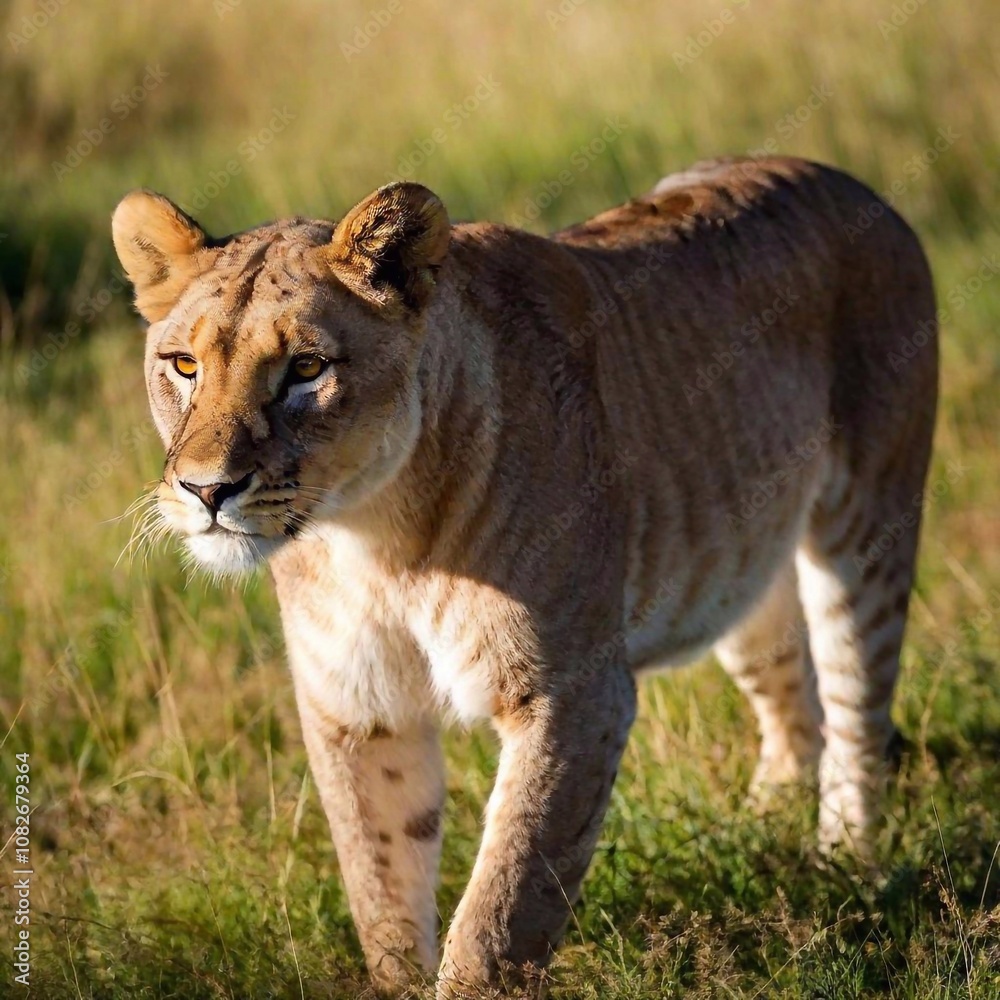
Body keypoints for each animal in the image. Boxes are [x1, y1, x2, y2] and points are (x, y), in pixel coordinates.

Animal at [112, 156, 937, 997]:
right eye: (183, 365)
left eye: (306, 369)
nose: (207, 491)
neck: (374, 539)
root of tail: (848, 182)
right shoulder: (358, 707)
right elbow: (380, 890)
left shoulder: (573, 693)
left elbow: (502, 914)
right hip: (738, 565)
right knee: (794, 700)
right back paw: (767, 827)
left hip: (866, 527)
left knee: (857, 711)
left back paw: (846, 867)